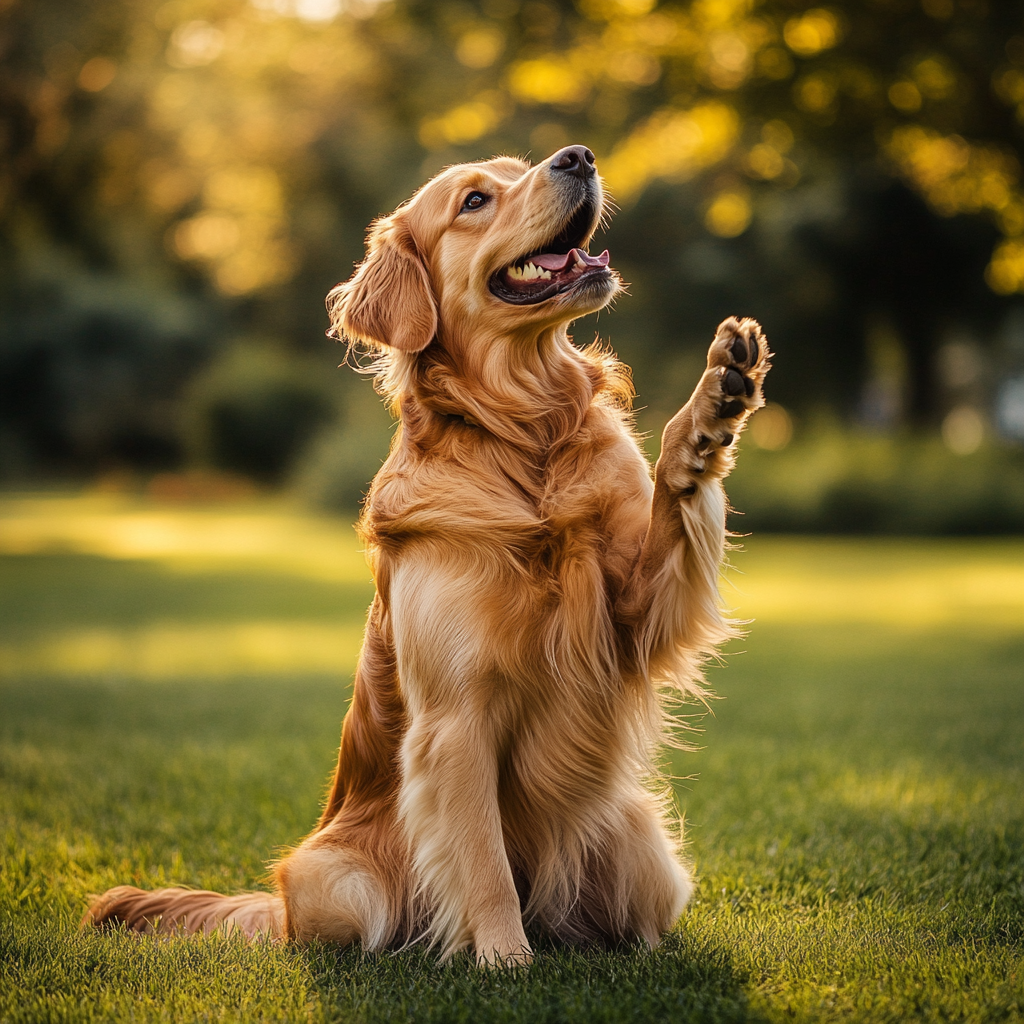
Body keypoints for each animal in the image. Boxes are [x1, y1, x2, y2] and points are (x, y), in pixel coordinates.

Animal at [86, 146, 770, 966]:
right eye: (475, 200)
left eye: (520, 166)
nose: (578, 157)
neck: (523, 435)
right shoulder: (456, 718)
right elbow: (484, 863)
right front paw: (506, 962)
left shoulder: (633, 618)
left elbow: (674, 490)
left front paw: (713, 406)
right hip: (335, 879)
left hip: (645, 849)